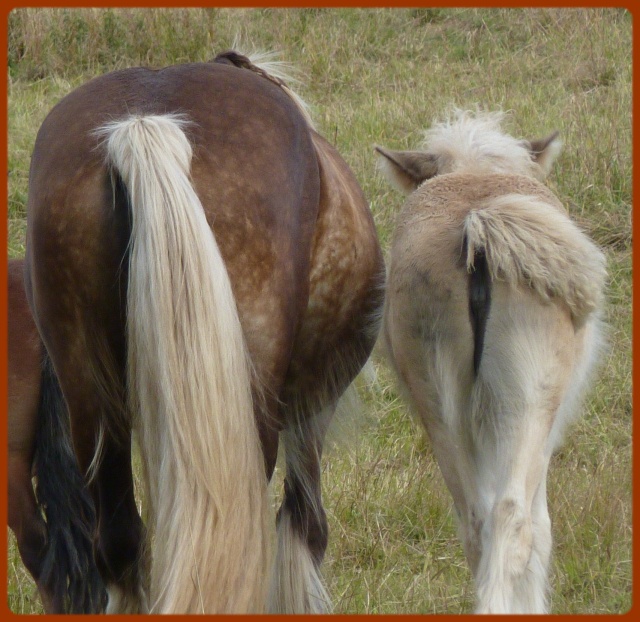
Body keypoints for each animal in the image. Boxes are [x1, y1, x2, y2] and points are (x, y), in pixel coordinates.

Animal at [378, 108, 608, 616]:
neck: (474, 169)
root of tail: (478, 226)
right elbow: (542, 528)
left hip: (438, 399)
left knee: (474, 520)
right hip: (529, 395)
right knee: (512, 516)